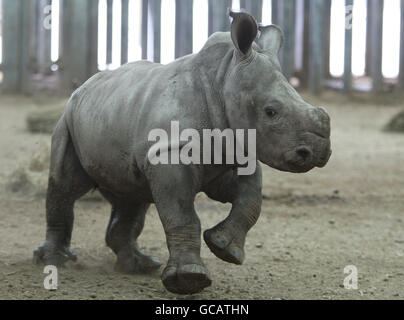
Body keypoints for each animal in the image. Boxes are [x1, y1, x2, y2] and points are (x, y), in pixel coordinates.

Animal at [34, 10, 332, 296]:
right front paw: (188, 279)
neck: (223, 79)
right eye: (271, 112)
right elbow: (182, 214)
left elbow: (251, 201)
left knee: (131, 195)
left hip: (114, 113)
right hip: (68, 120)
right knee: (67, 186)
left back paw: (139, 265)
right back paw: (54, 261)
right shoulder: (169, 153)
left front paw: (225, 248)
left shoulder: (234, 151)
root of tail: (84, 84)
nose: (318, 152)